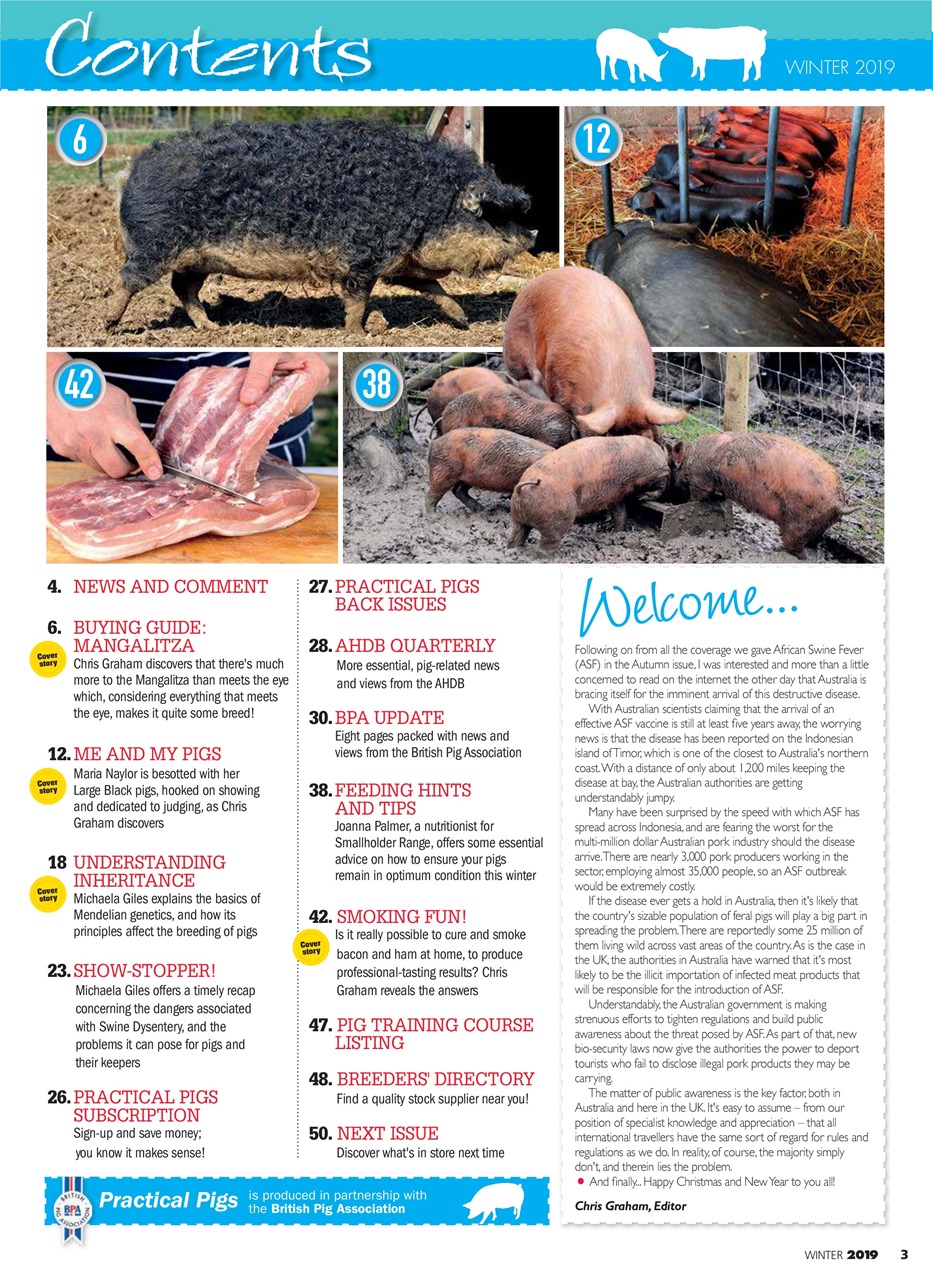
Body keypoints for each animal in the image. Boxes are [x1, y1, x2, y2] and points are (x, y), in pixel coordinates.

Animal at [106, 118, 536, 336]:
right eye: (490, 214)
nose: (532, 235)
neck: (425, 203)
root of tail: (131, 172)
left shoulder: (398, 262)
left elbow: (432, 286)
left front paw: (462, 321)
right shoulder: (362, 258)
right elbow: (358, 301)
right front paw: (360, 335)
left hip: (197, 259)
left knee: (183, 288)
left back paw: (210, 327)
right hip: (155, 243)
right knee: (128, 279)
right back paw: (110, 325)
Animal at [508, 436, 670, 553]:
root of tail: (525, 487)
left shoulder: (615, 494)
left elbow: (620, 513)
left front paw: (617, 533)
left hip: (517, 516)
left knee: (517, 534)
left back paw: (513, 549)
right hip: (557, 515)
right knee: (548, 542)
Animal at [668, 433, 845, 555]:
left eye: (671, 468)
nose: (670, 496)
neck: (690, 458)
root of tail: (838, 501)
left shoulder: (701, 479)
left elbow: (697, 497)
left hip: (799, 521)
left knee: (796, 548)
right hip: (818, 523)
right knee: (814, 543)